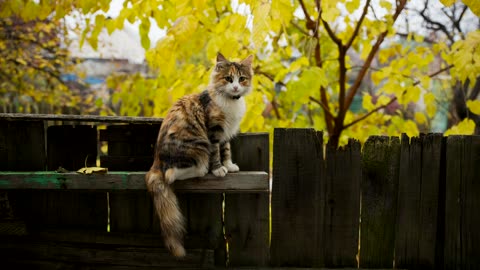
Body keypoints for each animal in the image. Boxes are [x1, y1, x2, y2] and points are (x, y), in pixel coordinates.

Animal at [144, 52, 253, 258]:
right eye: (228, 79)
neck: (231, 101)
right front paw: (219, 169)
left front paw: (230, 165)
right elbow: (216, 152)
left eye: (242, 79)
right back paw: (203, 170)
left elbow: (226, 149)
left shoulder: (226, 132)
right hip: (198, 145)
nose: (236, 87)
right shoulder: (214, 129)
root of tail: (156, 160)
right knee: (172, 174)